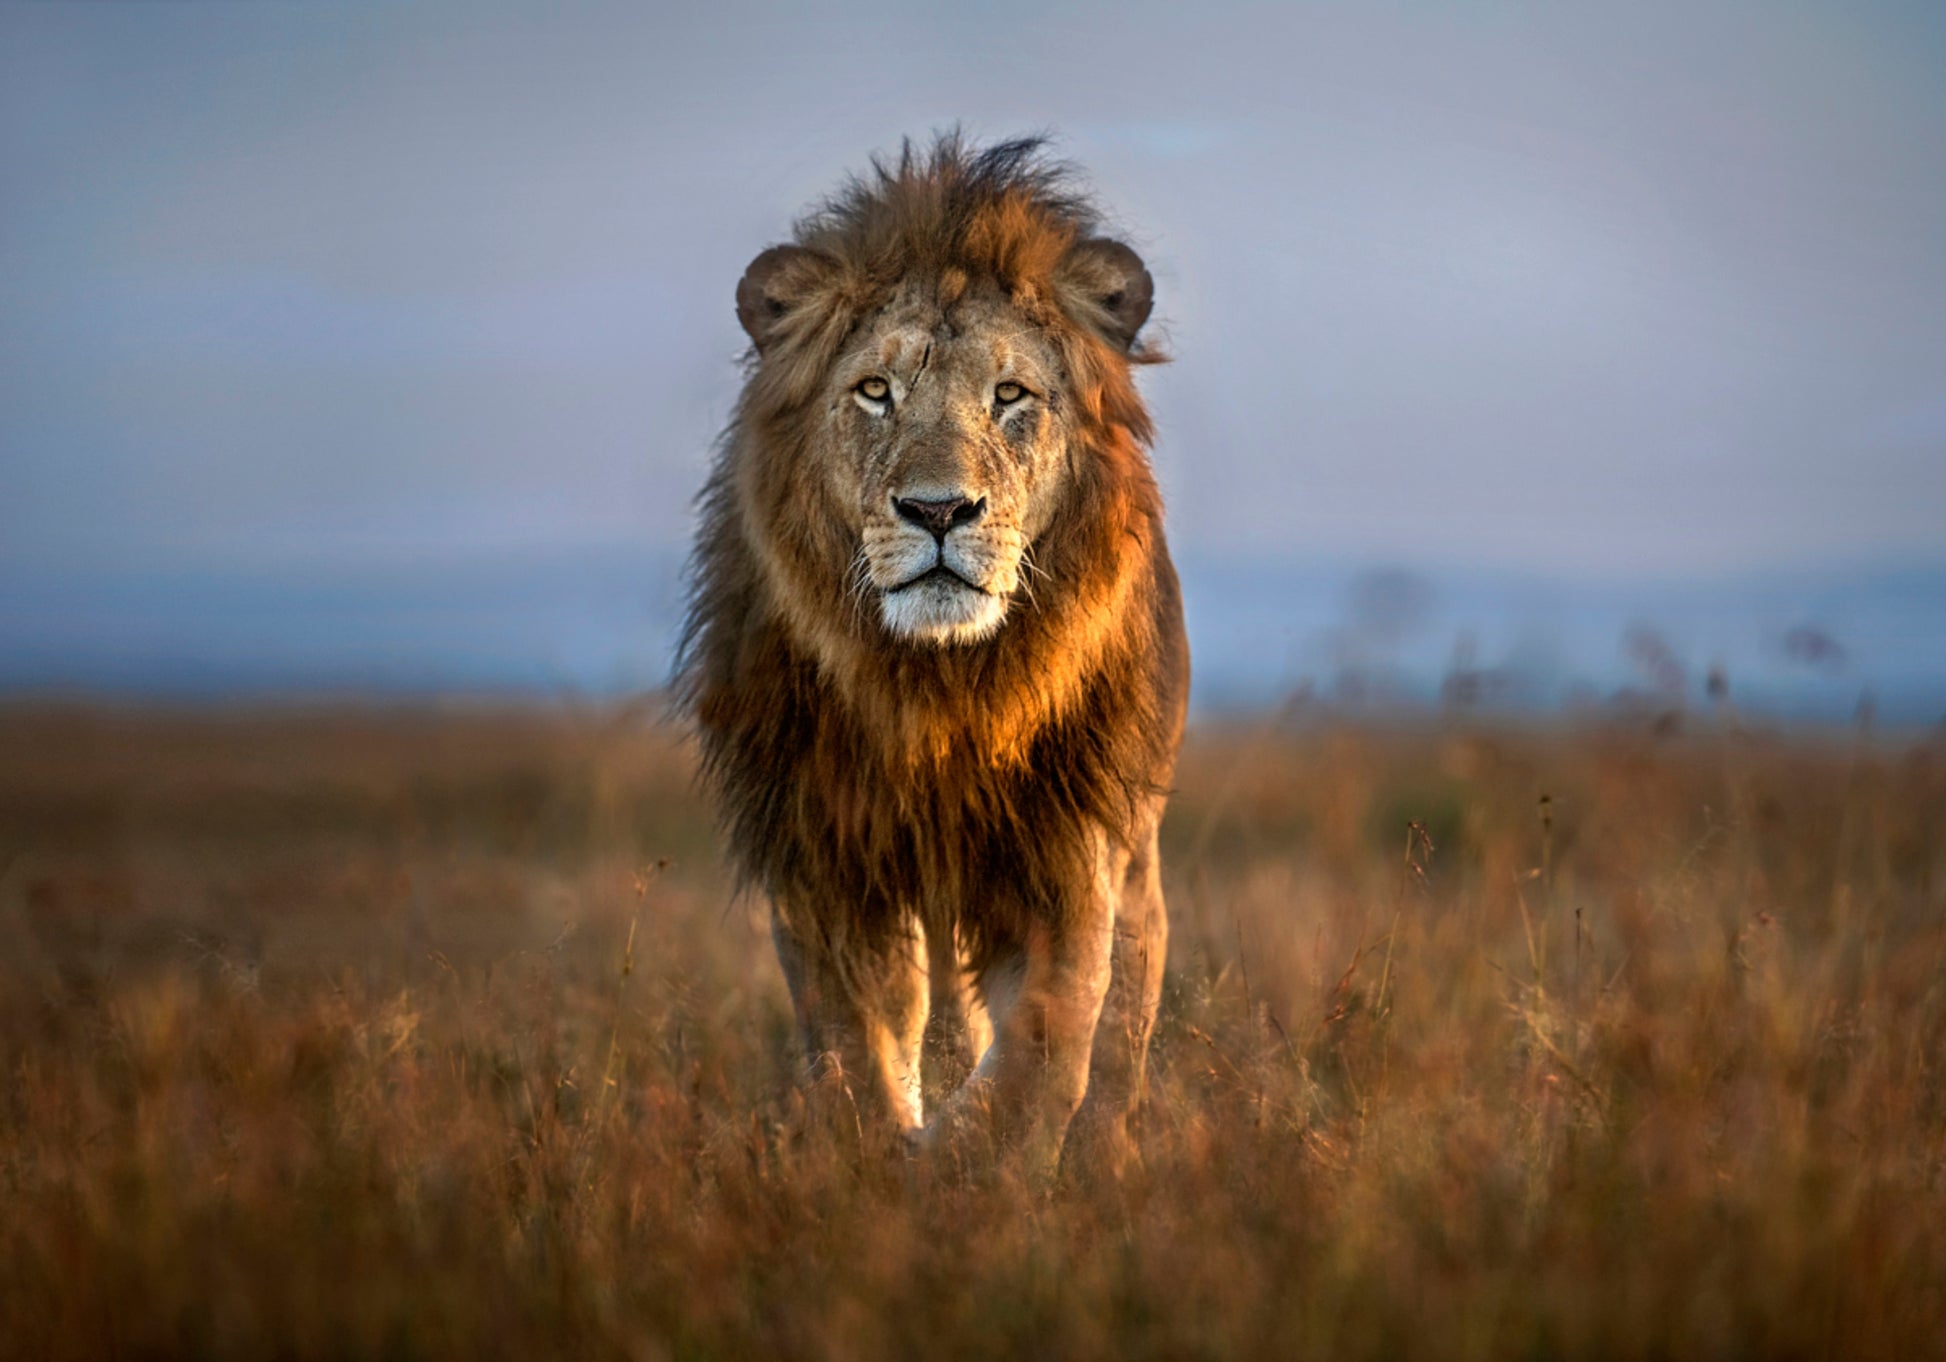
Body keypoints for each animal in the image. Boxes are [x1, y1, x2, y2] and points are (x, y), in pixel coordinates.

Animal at [677, 134, 1188, 1175]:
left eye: (1011, 394)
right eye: (876, 391)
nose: (940, 510)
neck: (941, 689)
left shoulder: (1068, 848)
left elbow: (1047, 1040)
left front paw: (971, 1166)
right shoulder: (825, 854)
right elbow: (857, 1040)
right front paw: (880, 1158)